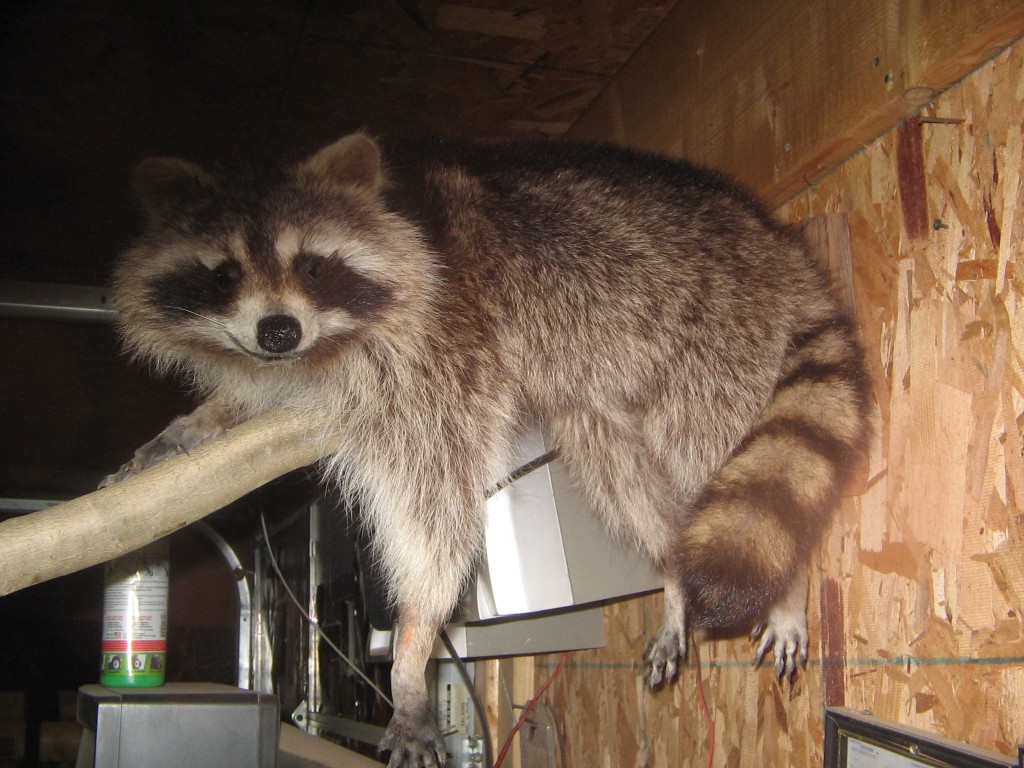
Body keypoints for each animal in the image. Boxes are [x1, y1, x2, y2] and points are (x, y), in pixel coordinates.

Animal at [107, 133, 870, 767]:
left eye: (314, 267)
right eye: (224, 274)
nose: (277, 331)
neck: (324, 349)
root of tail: (774, 238)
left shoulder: (443, 357)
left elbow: (437, 516)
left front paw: (412, 649)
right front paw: (198, 421)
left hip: (719, 331)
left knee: (710, 449)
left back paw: (785, 583)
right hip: (605, 386)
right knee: (623, 475)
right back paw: (675, 572)